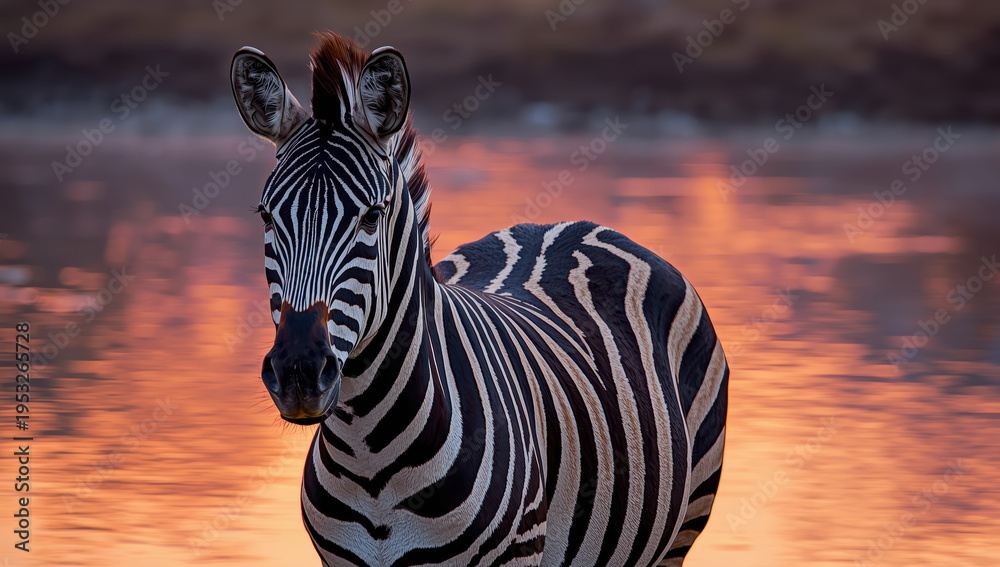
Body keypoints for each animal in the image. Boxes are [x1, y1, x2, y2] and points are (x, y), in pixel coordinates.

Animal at [229, 32, 728, 567]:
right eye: (266, 216)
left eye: (371, 217)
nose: (299, 373)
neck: (370, 455)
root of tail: (567, 225)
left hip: (685, 523)